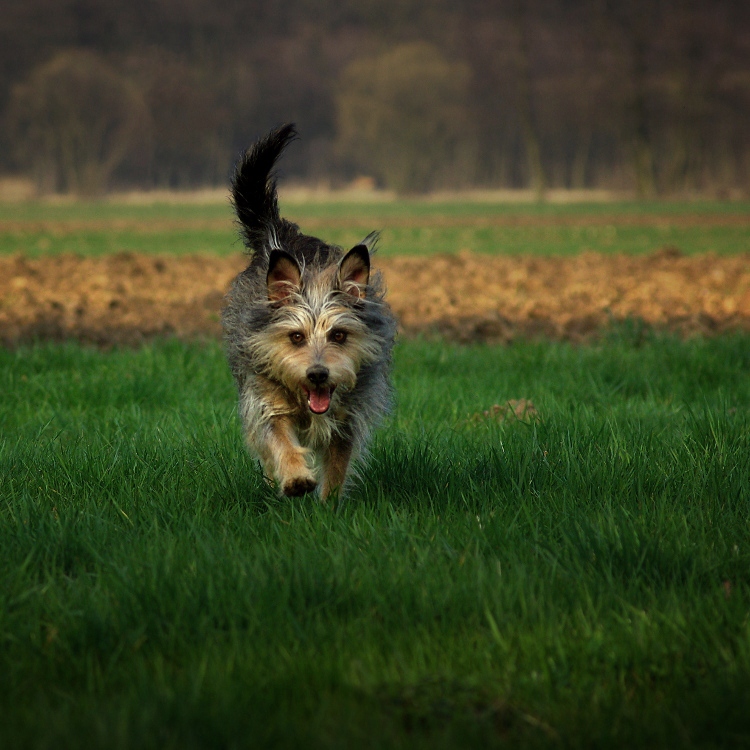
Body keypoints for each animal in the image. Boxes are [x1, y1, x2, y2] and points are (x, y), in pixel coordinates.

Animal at [222, 122, 400, 500]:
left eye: (339, 335)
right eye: (295, 337)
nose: (318, 374)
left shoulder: (347, 419)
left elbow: (337, 466)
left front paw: (329, 505)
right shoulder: (265, 402)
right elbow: (278, 440)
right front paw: (294, 478)